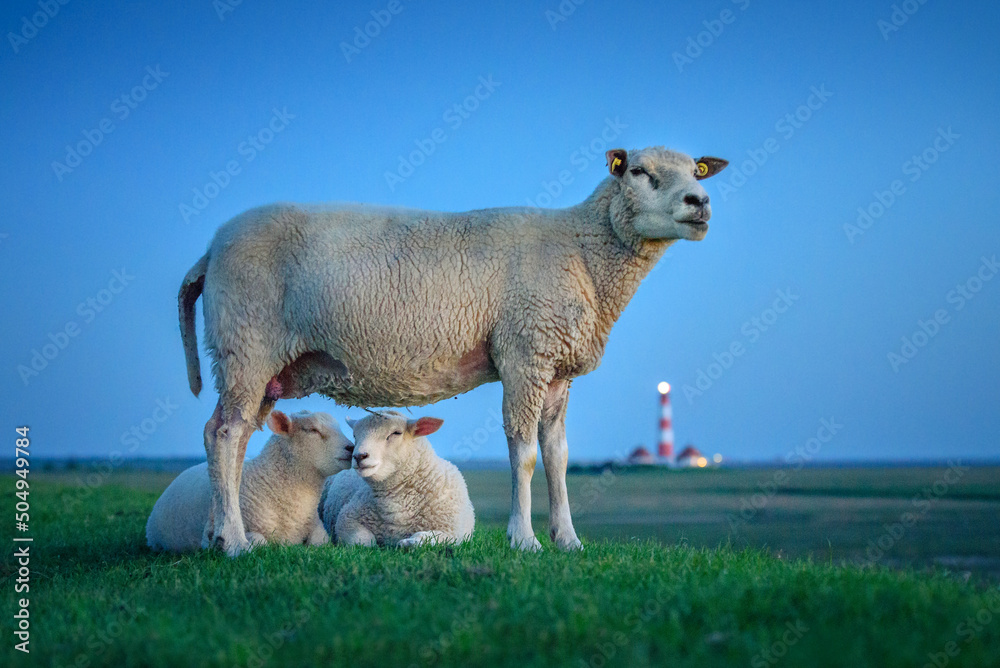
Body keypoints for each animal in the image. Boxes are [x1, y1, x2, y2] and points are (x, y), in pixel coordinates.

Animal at [318, 411, 474, 547]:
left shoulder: (451, 532)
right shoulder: (347, 518)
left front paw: (409, 543)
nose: (358, 456)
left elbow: (426, 537)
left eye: (396, 433)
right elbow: (363, 541)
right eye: (355, 435)